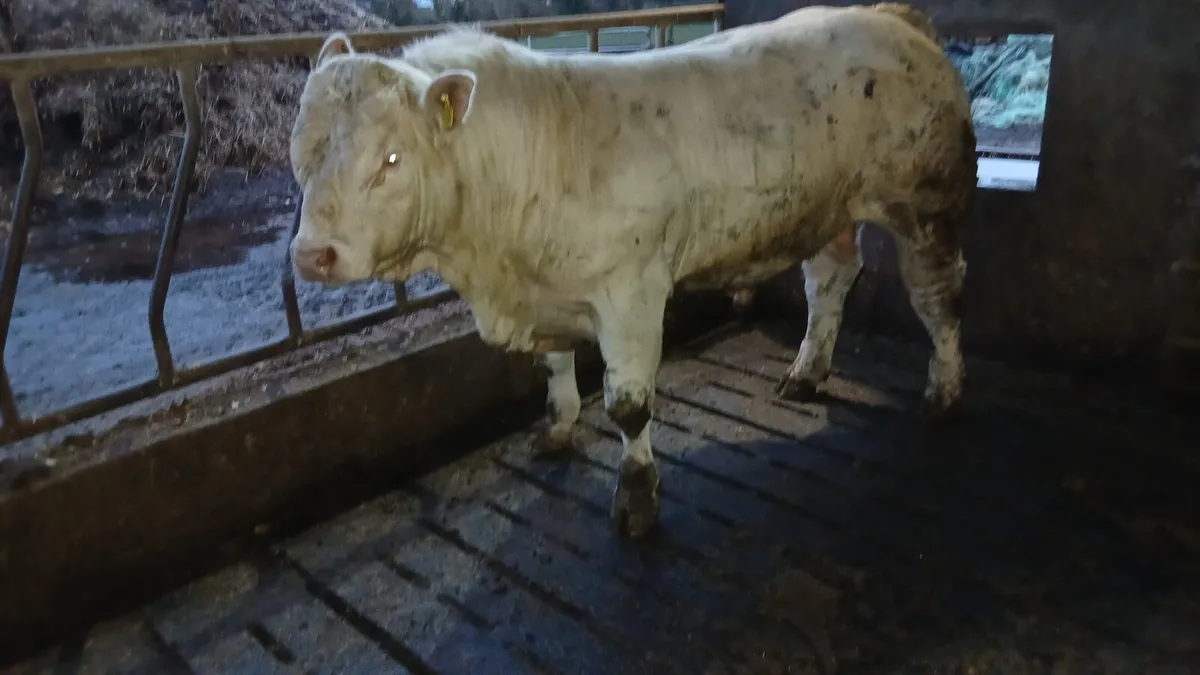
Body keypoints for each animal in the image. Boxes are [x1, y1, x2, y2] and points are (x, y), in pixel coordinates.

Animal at [288, 2, 977, 539]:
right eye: (302, 148)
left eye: (390, 160)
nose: (312, 256)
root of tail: (892, 17)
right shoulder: (552, 290)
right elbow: (554, 367)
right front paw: (558, 429)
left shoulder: (632, 292)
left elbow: (627, 407)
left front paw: (637, 498)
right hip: (828, 209)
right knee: (830, 281)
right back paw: (807, 373)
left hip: (925, 205)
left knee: (937, 295)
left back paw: (943, 394)